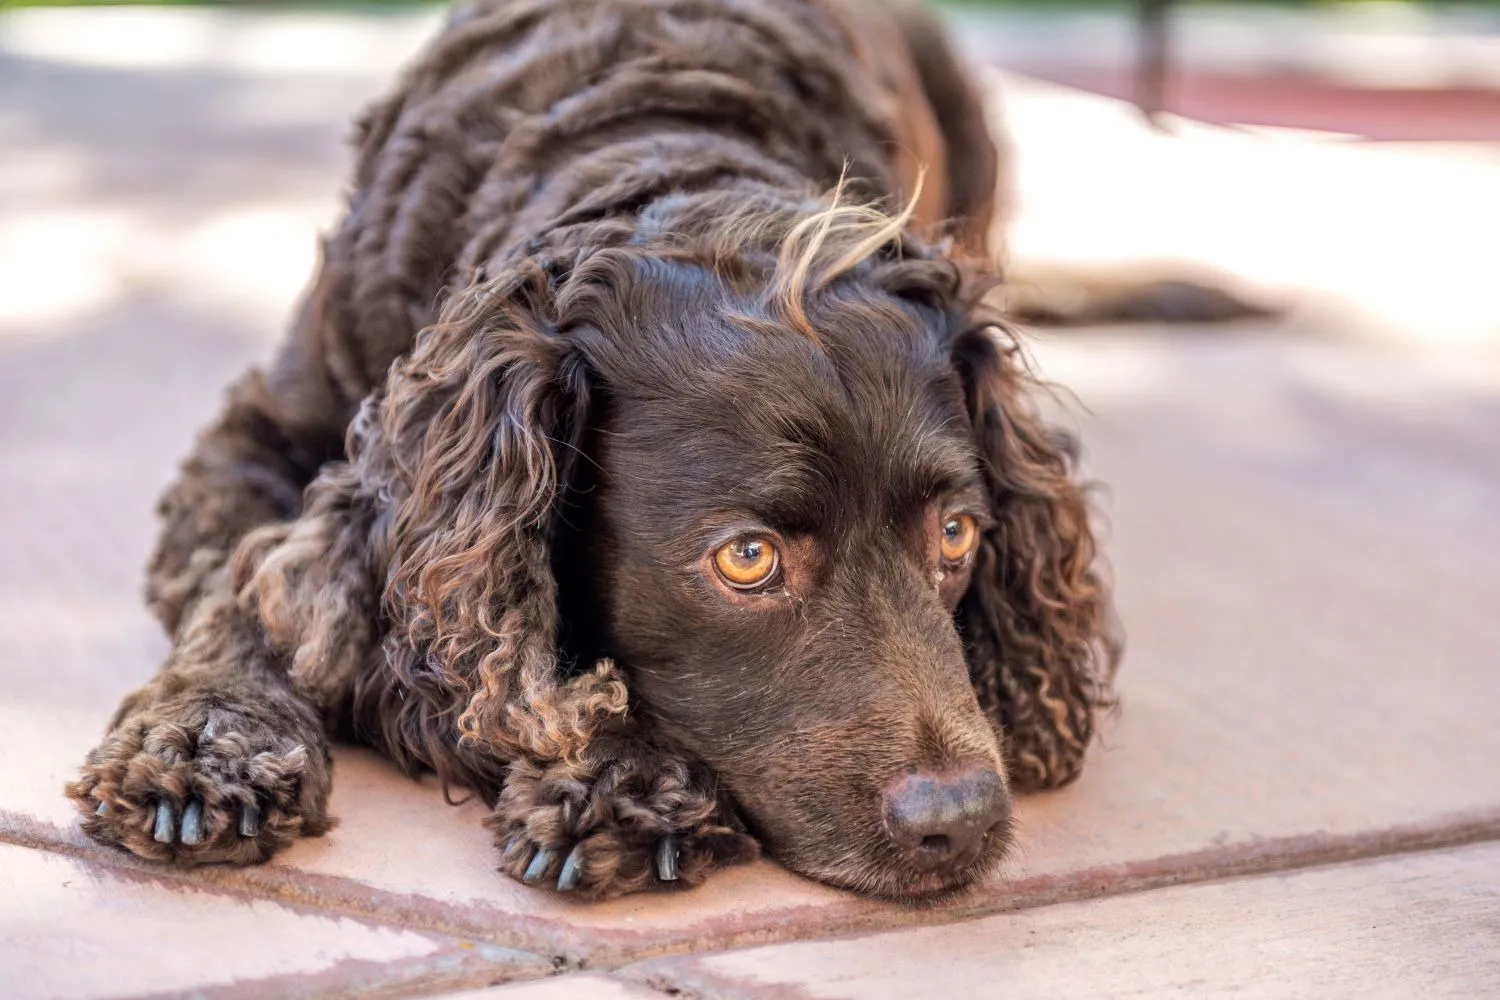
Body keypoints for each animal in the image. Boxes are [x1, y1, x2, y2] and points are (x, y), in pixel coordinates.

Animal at [70, 0, 1122, 899]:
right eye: (748, 558)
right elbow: (244, 591)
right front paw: (206, 742)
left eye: (956, 536)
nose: (963, 822)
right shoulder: (258, 440)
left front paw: (620, 779)